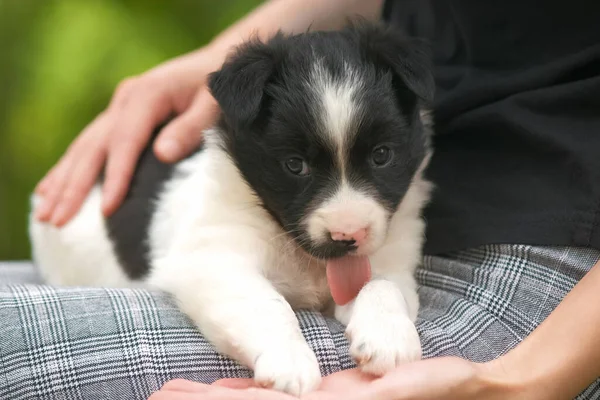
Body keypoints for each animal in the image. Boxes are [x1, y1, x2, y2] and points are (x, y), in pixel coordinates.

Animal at [28, 22, 434, 396]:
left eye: (382, 156)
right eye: (295, 165)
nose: (347, 236)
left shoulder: (389, 260)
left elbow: (381, 285)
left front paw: (388, 339)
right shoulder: (212, 259)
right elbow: (266, 302)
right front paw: (289, 361)